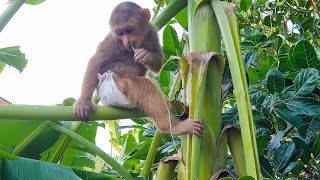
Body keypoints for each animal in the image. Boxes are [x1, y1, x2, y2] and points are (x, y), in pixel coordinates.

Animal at [73, 1, 202, 136]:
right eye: (120, 34)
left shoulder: (151, 31)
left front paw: (146, 55)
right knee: (146, 87)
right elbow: (95, 62)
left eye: (128, 30)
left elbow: (158, 64)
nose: (127, 41)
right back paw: (172, 127)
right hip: (112, 88)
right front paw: (83, 103)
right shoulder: (113, 40)